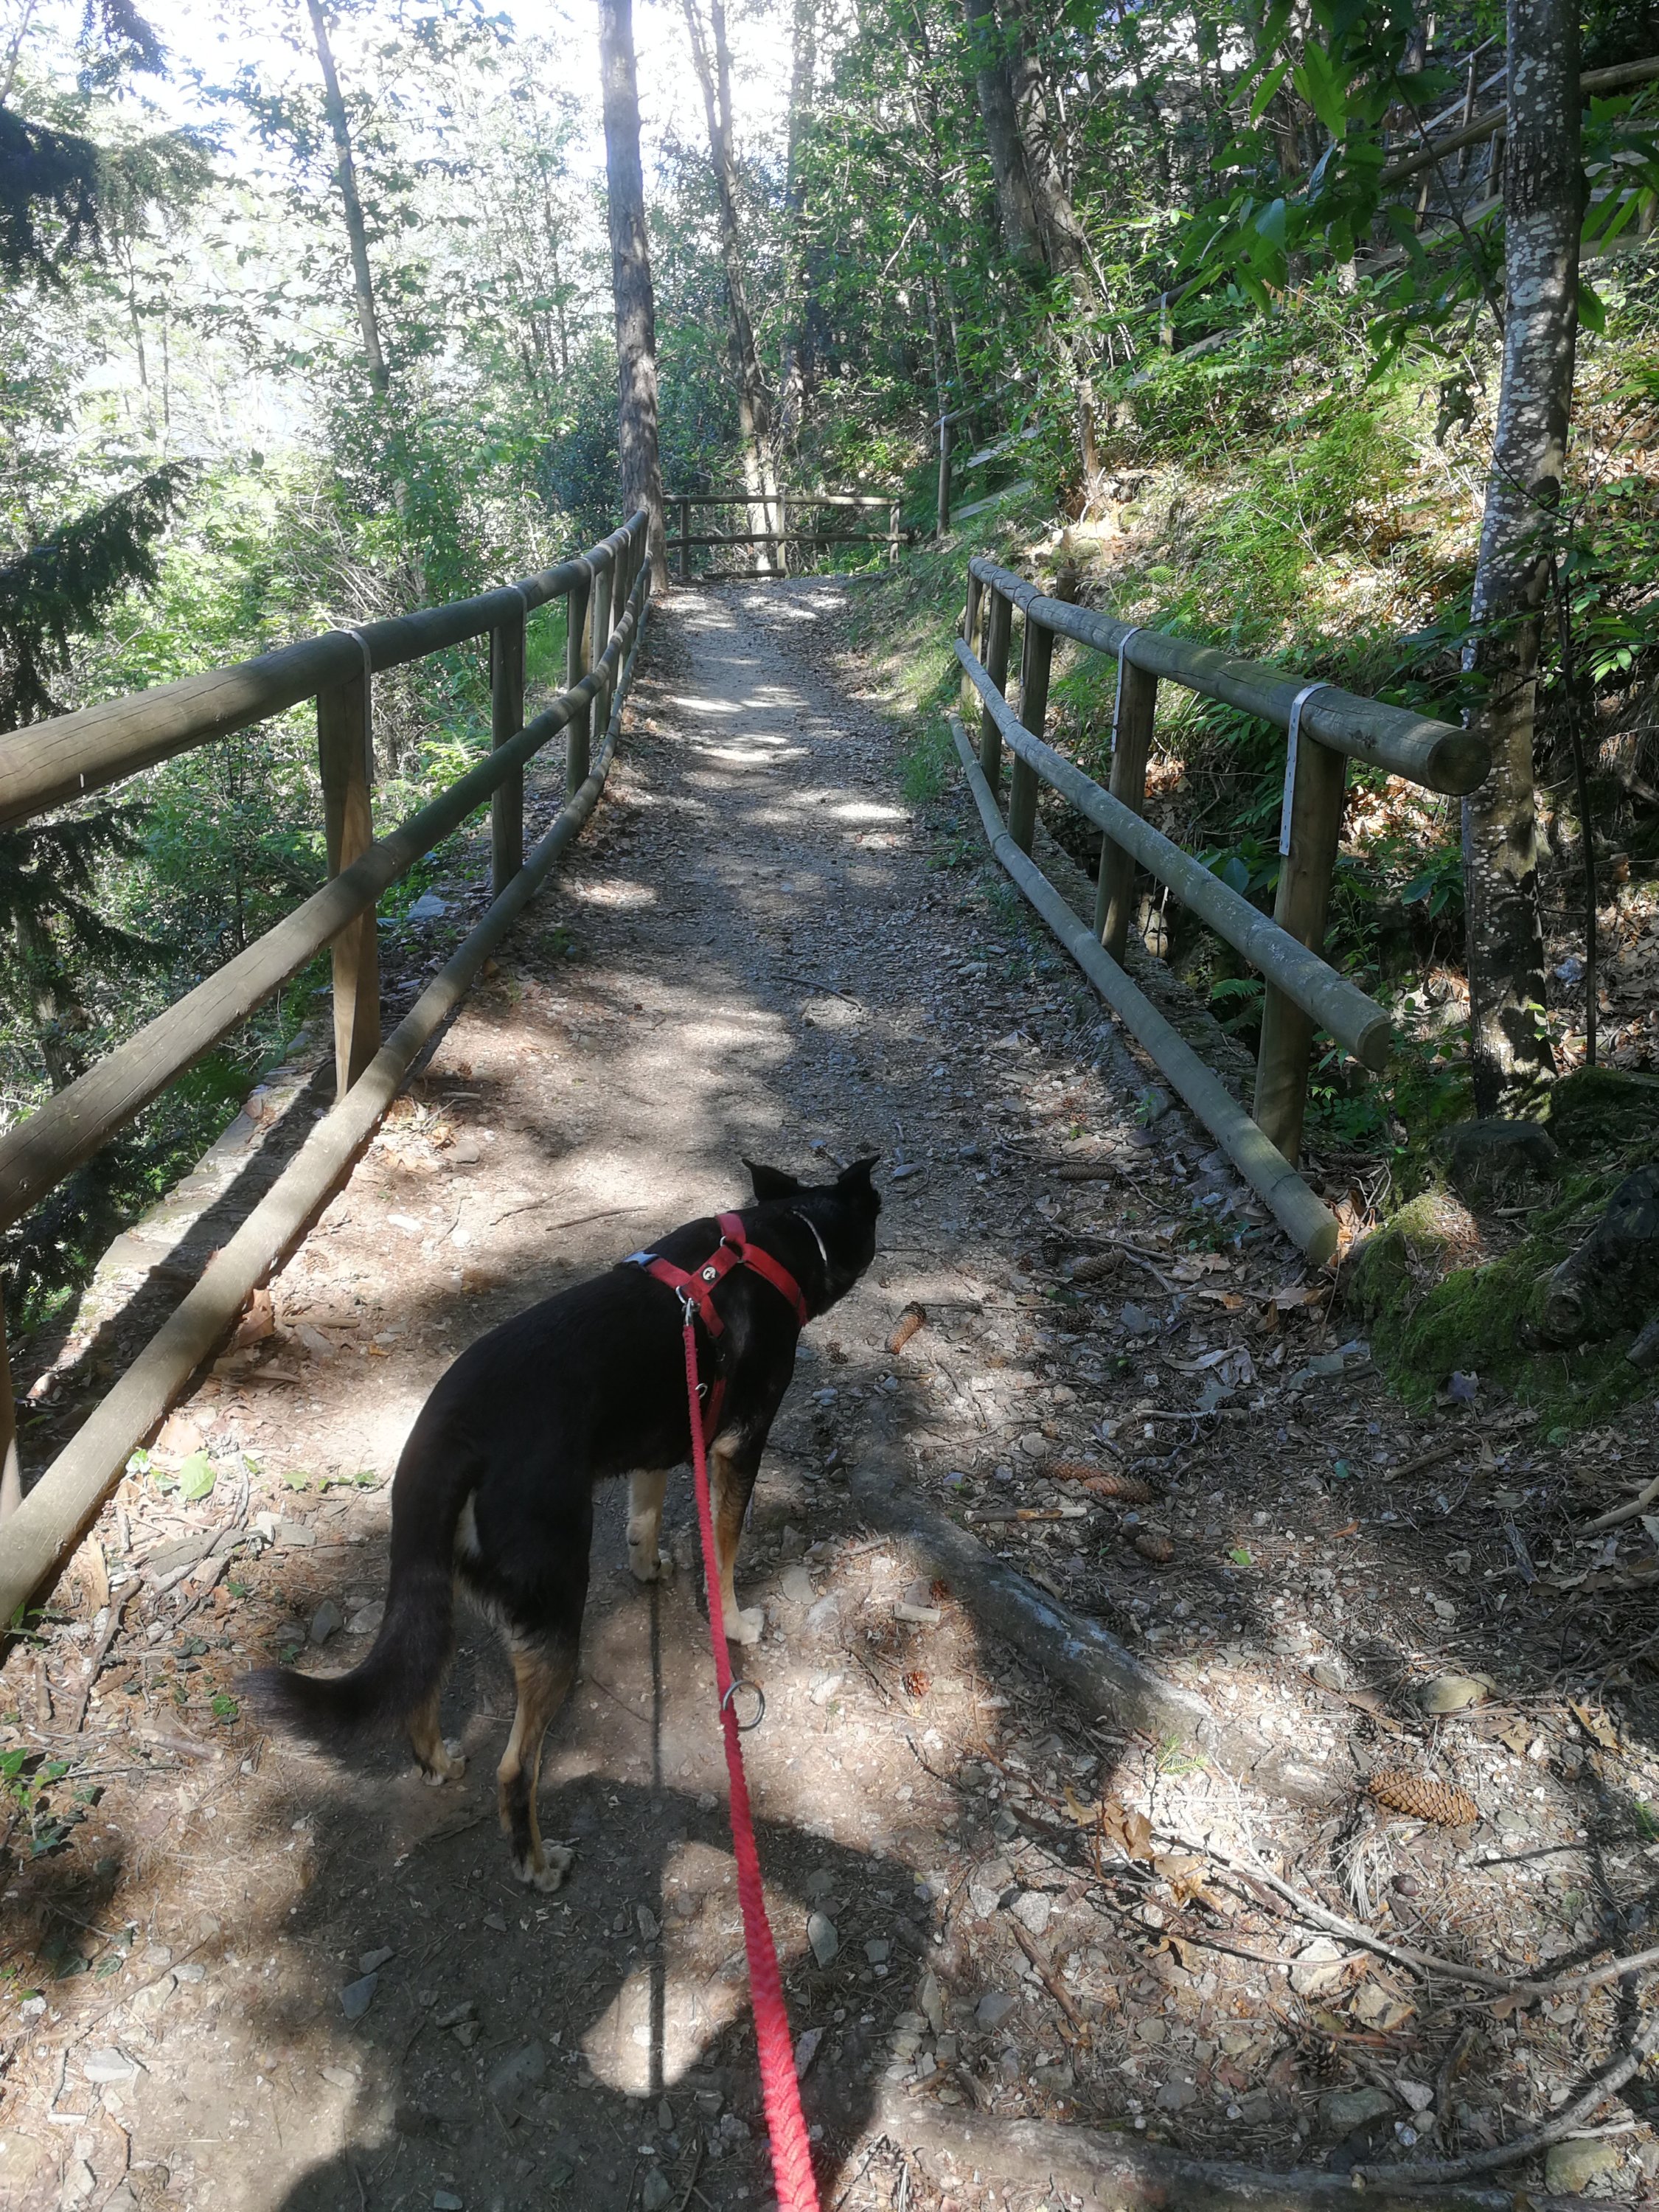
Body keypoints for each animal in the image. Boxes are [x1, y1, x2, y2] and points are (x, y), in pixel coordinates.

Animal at [246, 1157, 880, 1888]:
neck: (781, 1238)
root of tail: (455, 1437)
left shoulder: (662, 1438)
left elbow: (645, 1515)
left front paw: (647, 1565)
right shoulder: (736, 1448)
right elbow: (724, 1553)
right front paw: (736, 1621)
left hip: (437, 1588)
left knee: (419, 1679)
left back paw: (438, 1763)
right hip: (554, 1606)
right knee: (516, 1770)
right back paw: (538, 1863)